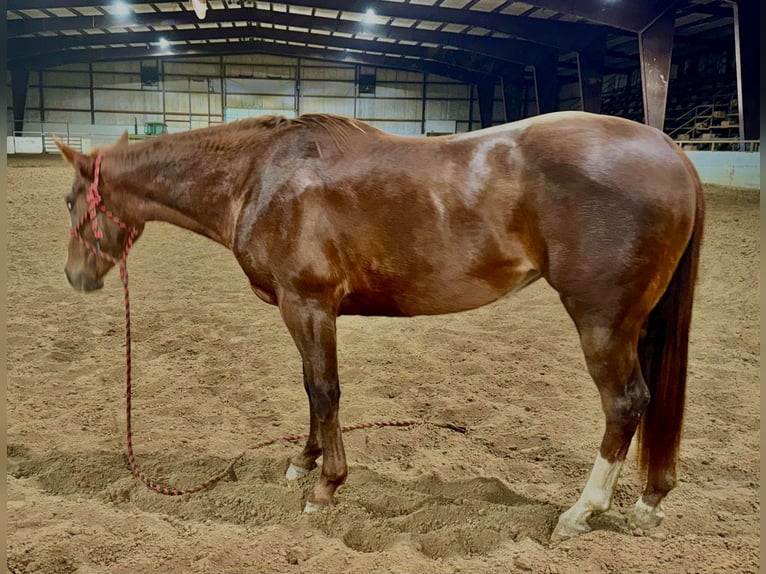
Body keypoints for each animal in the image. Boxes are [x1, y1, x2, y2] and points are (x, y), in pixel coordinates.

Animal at [54, 109, 704, 544]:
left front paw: (326, 487)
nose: (75, 276)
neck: (259, 178)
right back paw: (650, 500)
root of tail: (673, 153)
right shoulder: (305, 310)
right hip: (638, 324)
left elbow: (325, 392)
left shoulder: (307, 305)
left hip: (602, 322)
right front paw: (303, 464)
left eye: (69, 201)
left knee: (625, 403)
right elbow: (312, 393)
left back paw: (581, 512)